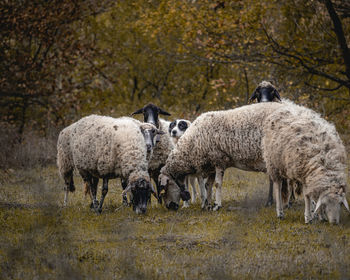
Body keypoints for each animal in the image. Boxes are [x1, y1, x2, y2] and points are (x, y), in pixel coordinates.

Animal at [158, 101, 288, 210]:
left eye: (164, 189)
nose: (170, 207)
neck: (192, 143)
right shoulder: (210, 164)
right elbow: (208, 185)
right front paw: (207, 205)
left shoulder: (219, 159)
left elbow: (217, 184)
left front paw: (216, 205)